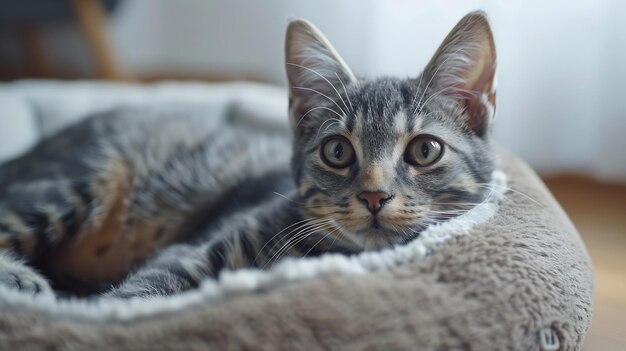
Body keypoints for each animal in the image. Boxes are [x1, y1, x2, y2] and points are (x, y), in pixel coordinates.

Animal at [0, 12, 498, 300]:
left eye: (424, 150)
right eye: (337, 151)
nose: (374, 196)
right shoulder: (190, 252)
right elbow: (135, 296)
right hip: (75, 179)